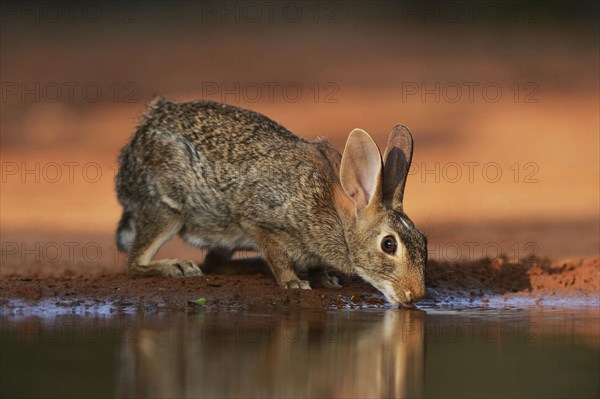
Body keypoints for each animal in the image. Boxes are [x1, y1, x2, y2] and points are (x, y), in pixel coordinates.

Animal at [116, 97, 426, 306]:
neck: (338, 217)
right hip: (167, 210)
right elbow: (277, 255)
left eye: (423, 240)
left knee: (215, 262)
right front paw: (294, 283)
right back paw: (177, 267)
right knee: (134, 262)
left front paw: (325, 279)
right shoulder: (260, 221)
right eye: (389, 245)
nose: (416, 294)